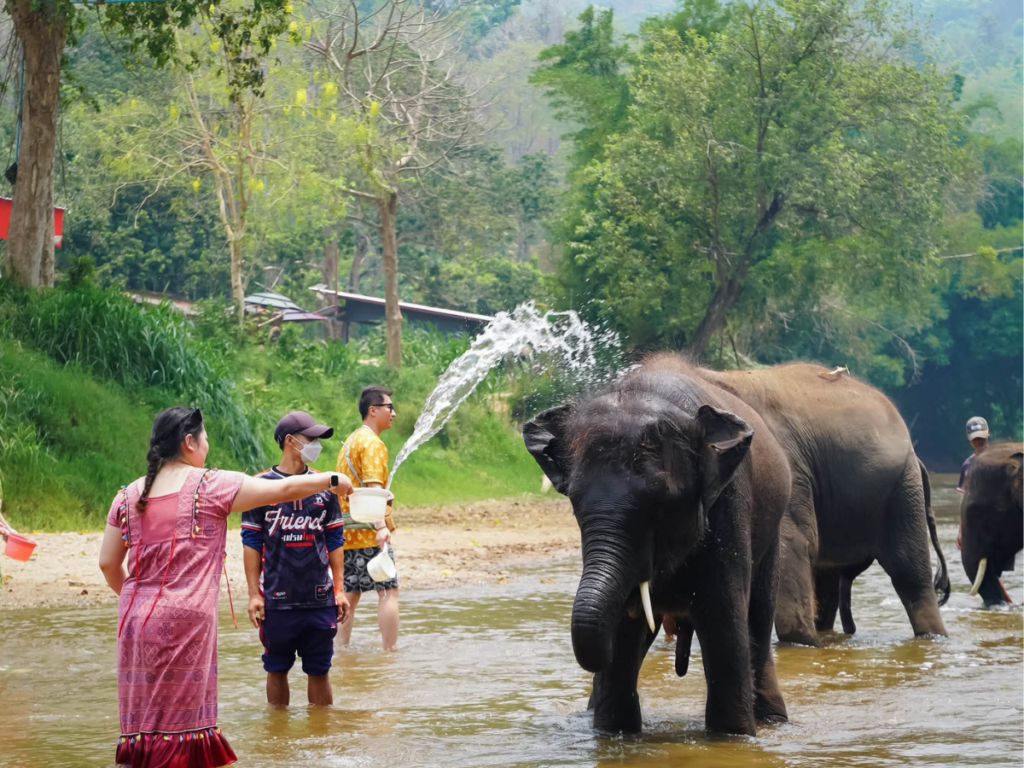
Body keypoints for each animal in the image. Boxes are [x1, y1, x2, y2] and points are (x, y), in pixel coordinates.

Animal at [523, 354, 792, 736]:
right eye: (573, 500)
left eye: (661, 502)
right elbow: (623, 635)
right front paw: (613, 733)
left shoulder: (728, 505)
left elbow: (724, 625)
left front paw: (733, 738)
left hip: (771, 533)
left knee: (757, 619)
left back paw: (774, 722)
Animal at [698, 363, 948, 646]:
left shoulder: (788, 465)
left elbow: (794, 542)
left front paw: (801, 644)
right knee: (828, 581)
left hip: (902, 488)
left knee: (908, 572)